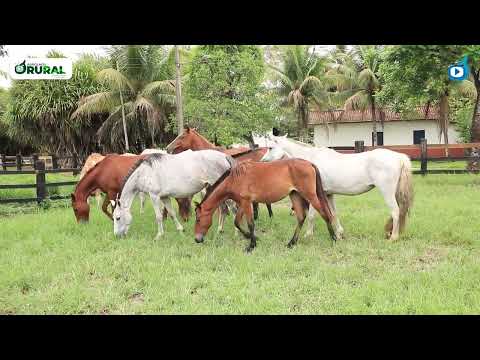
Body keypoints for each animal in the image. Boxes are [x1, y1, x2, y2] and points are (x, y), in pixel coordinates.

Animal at [192, 159, 338, 252]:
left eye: (198, 219)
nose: (197, 239)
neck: (235, 179)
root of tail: (309, 163)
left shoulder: (246, 203)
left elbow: (250, 224)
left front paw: (251, 245)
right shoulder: (243, 203)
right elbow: (237, 222)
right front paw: (252, 237)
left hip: (310, 196)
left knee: (325, 214)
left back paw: (334, 238)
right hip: (295, 195)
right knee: (301, 217)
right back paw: (291, 243)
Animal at [260, 134, 414, 240]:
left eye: (270, 147)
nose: (262, 161)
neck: (311, 161)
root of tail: (399, 157)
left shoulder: (315, 194)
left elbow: (311, 215)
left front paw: (308, 234)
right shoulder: (329, 194)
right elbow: (333, 213)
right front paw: (339, 234)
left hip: (387, 192)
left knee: (395, 211)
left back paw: (393, 237)